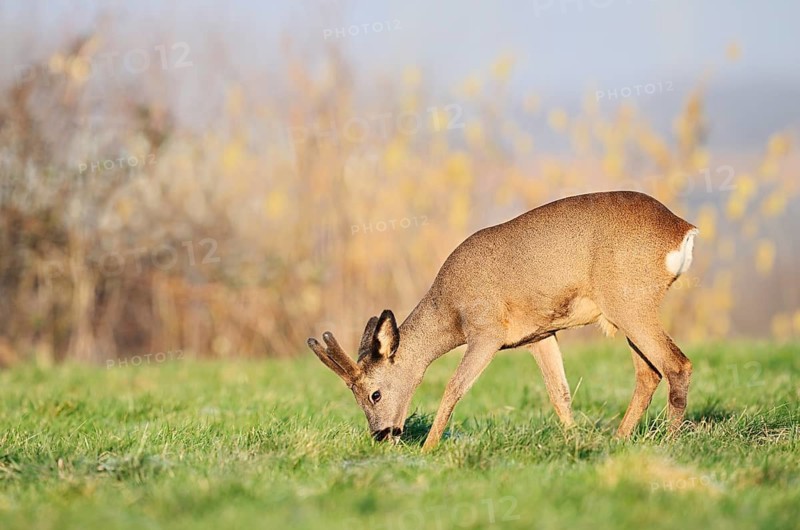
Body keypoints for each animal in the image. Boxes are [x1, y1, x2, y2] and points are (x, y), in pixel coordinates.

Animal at [307, 191, 699, 451]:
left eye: (374, 394)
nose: (380, 434)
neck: (451, 310)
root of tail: (681, 228)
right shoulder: (539, 335)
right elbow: (559, 391)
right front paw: (574, 443)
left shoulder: (487, 331)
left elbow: (454, 386)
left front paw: (429, 448)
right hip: (625, 310)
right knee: (648, 373)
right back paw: (618, 440)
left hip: (630, 302)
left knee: (676, 364)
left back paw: (671, 443)